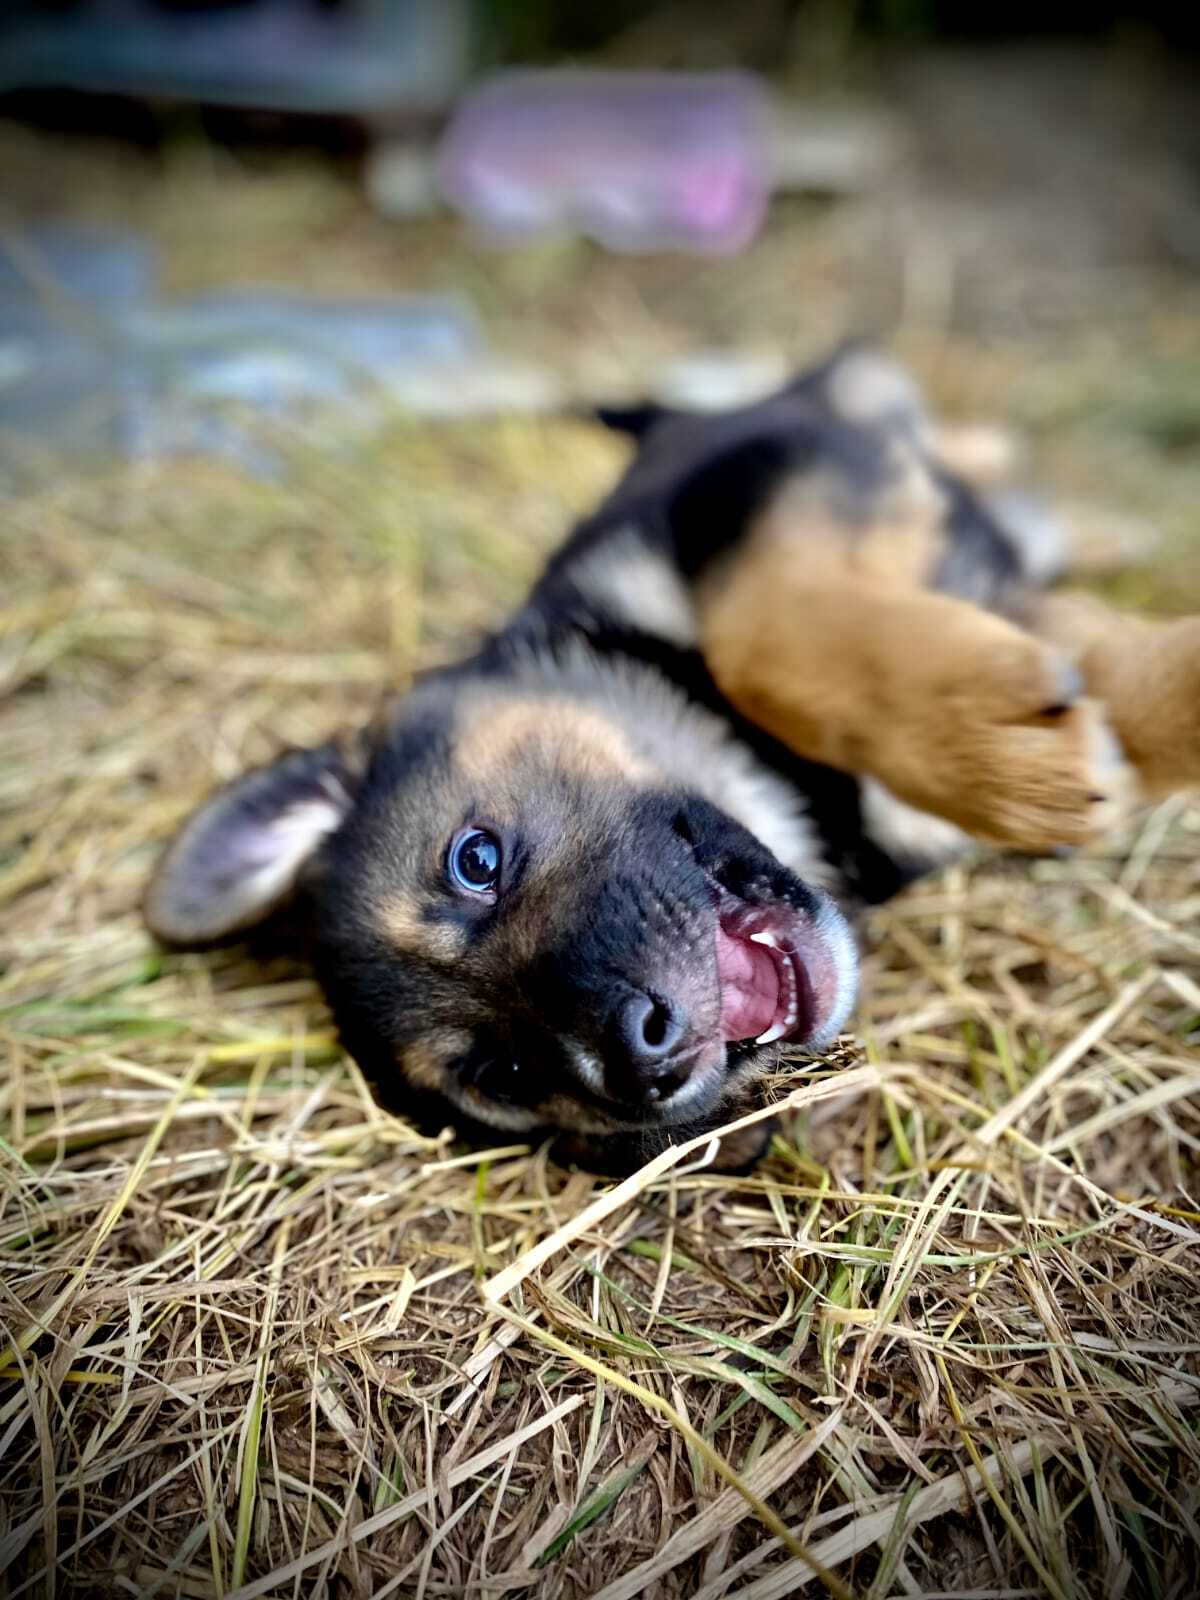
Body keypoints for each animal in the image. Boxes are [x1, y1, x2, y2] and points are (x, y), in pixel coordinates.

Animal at [143, 350, 1200, 1171]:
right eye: (505, 1074)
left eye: (474, 861)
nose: (643, 1051)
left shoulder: (753, 477)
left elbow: (764, 637)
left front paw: (1003, 745)